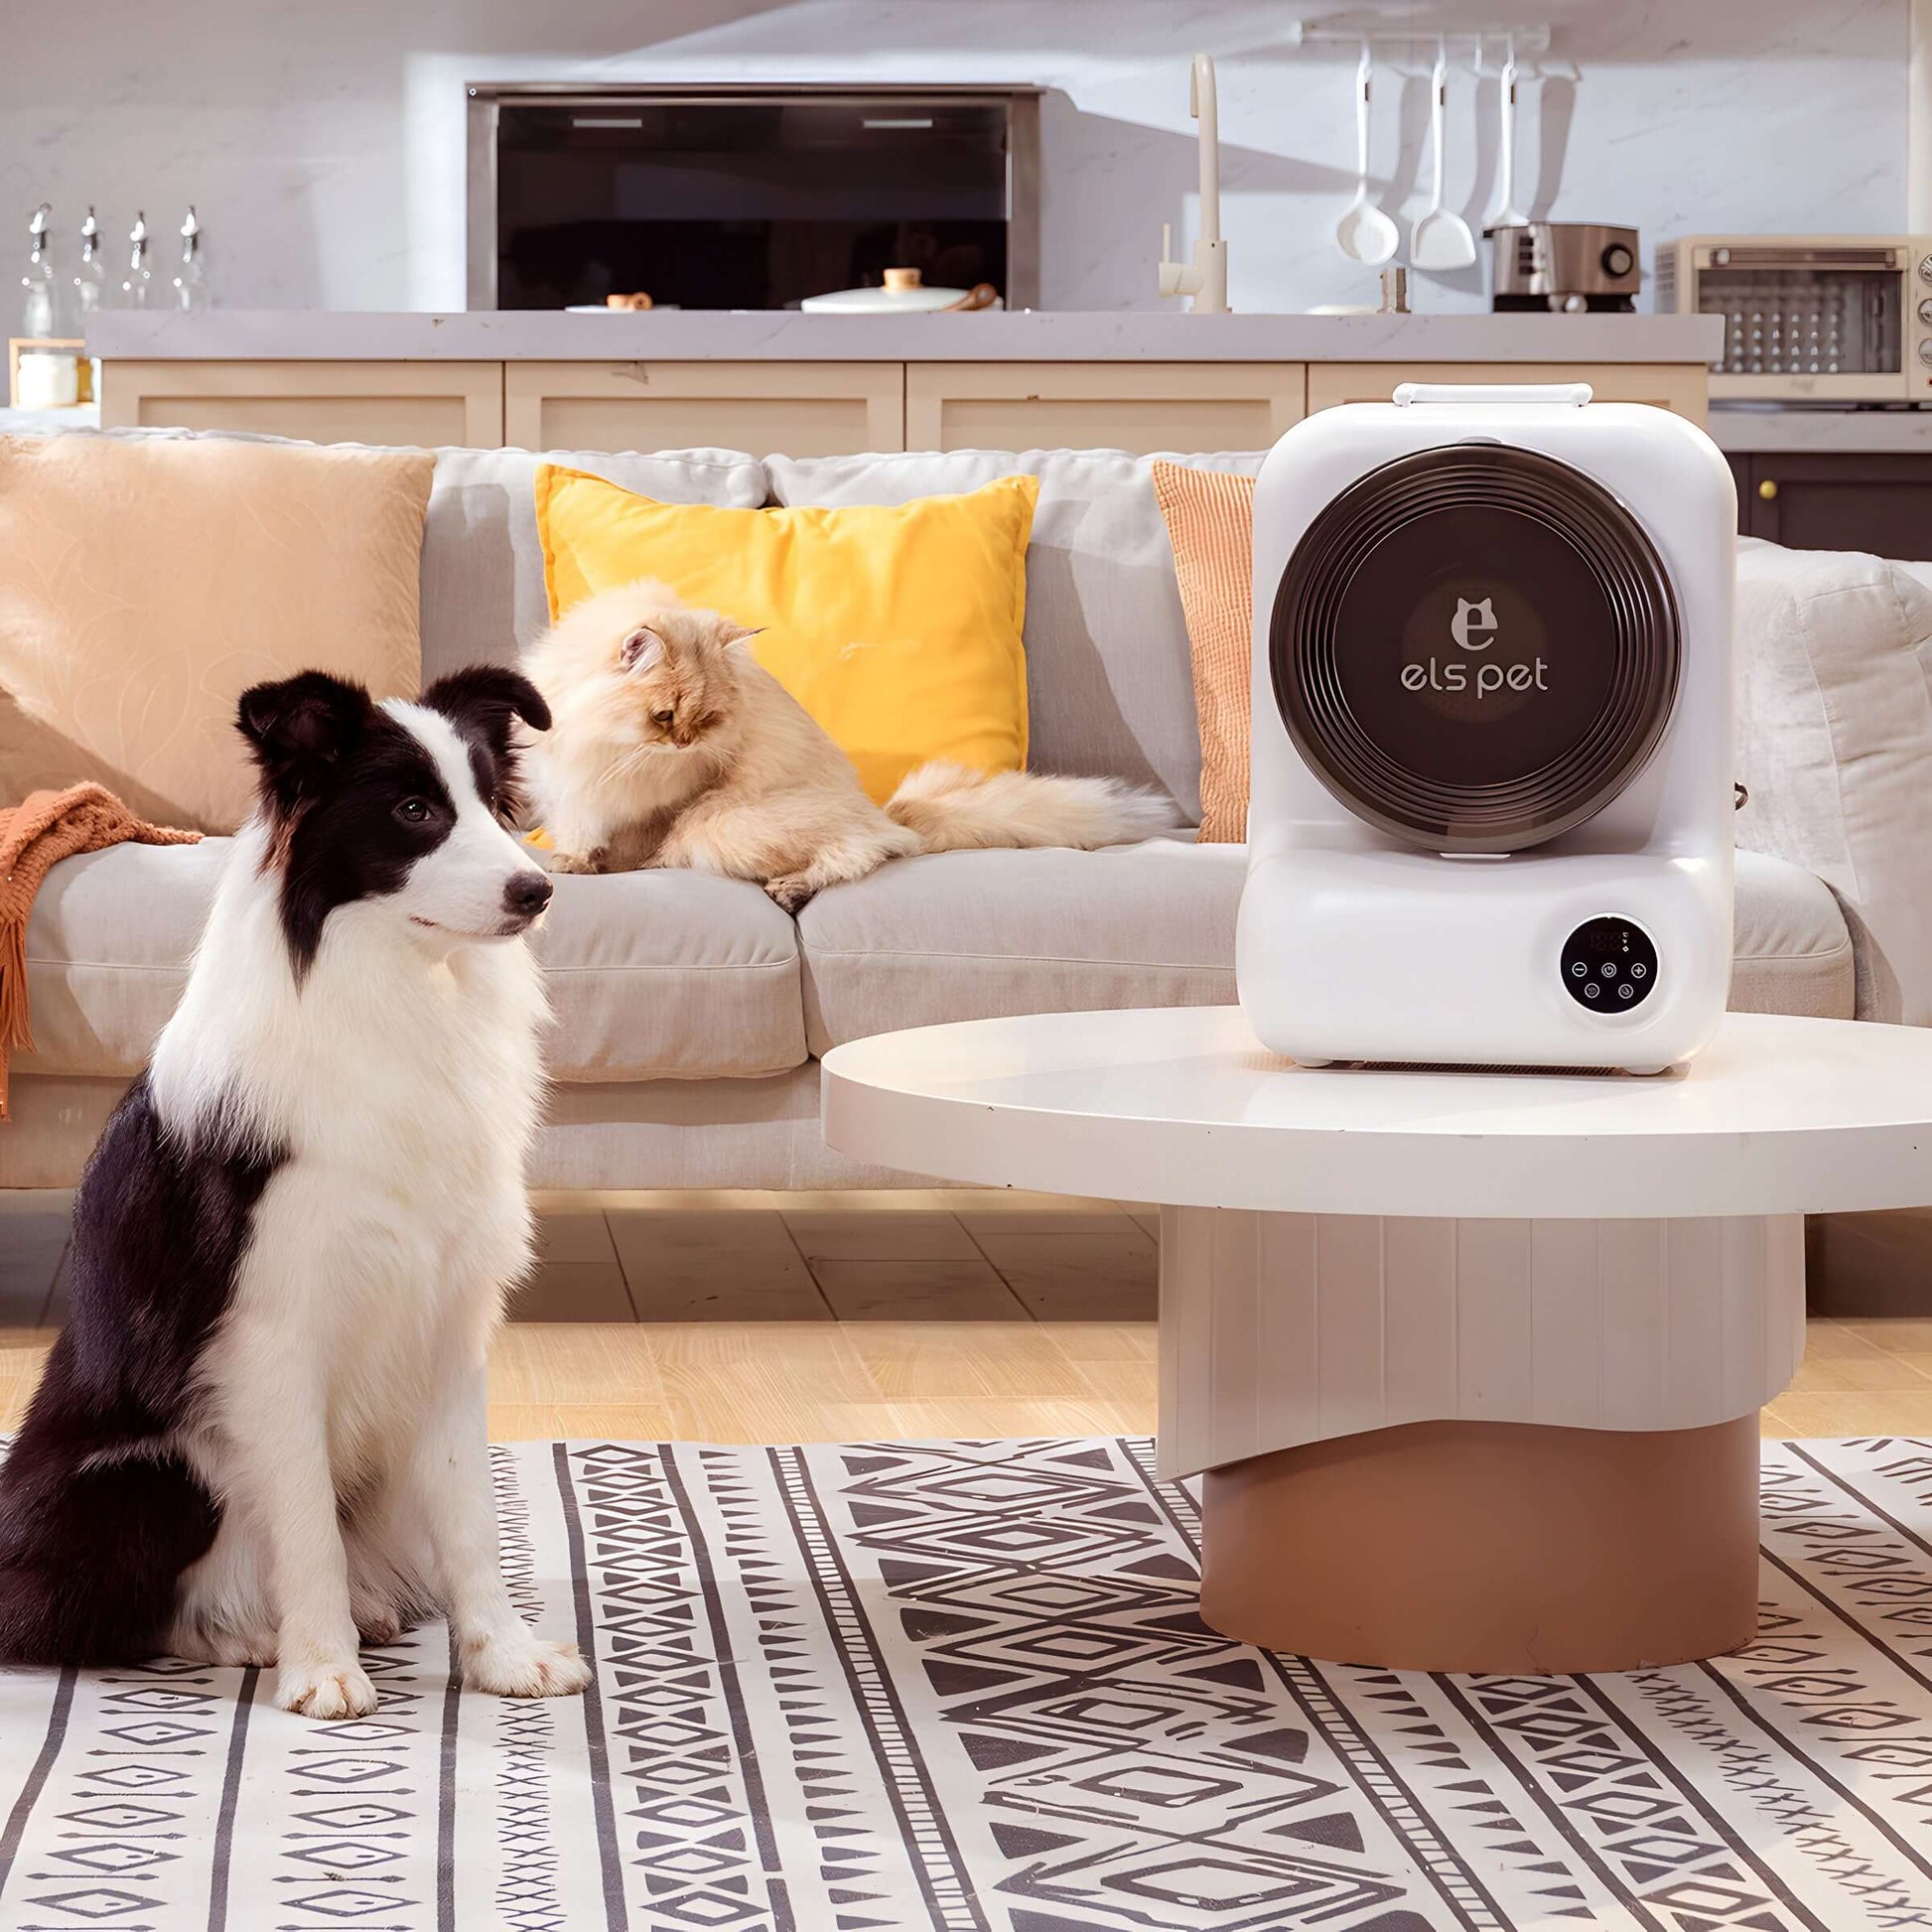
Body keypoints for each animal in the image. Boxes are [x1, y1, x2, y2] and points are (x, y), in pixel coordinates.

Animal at [517, 575, 1174, 907]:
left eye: (702, 721)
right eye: (664, 717)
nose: (682, 744)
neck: (608, 744)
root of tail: (884, 808)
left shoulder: (669, 803)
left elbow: (630, 845)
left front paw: (601, 868)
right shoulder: (577, 791)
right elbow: (582, 831)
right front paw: (575, 862)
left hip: (725, 824)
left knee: (871, 850)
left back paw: (790, 889)